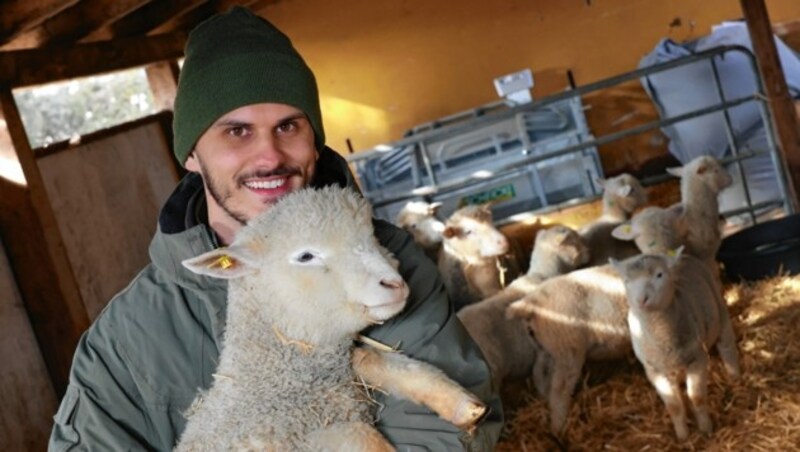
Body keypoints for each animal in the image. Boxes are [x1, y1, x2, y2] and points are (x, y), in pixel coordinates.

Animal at [177, 186, 488, 452]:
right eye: (305, 256)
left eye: (373, 237)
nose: (394, 284)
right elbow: (363, 436)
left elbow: (371, 358)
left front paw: (460, 403)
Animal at [612, 249, 744, 440]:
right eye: (627, 281)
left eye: (659, 275)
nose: (641, 300)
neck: (662, 337)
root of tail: (683, 256)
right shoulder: (655, 372)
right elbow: (674, 407)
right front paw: (683, 436)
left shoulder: (697, 360)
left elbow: (697, 397)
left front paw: (705, 428)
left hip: (720, 309)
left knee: (727, 346)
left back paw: (735, 377)